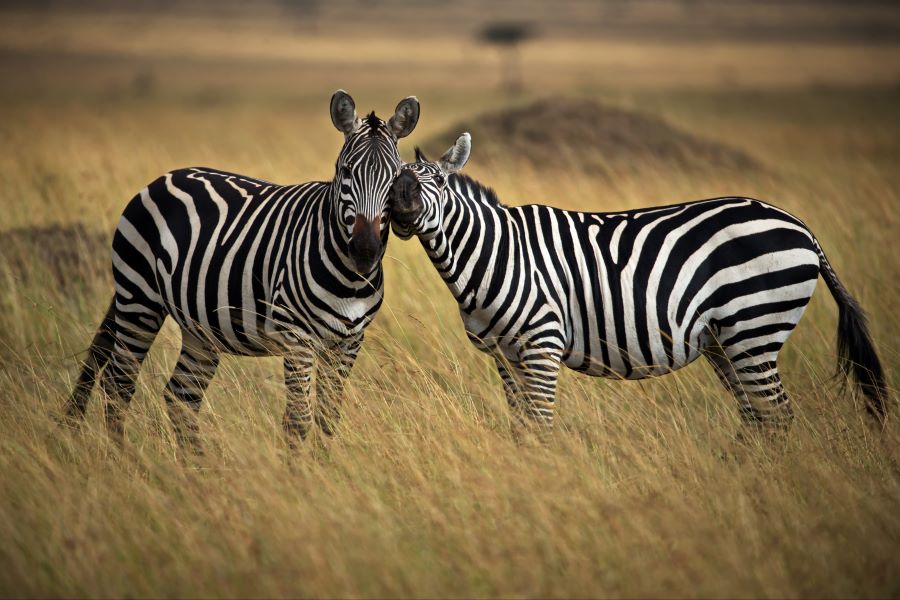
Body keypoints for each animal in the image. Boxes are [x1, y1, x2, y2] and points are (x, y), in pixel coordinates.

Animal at [63, 91, 422, 452]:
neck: (349, 280)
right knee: (118, 383)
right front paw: (299, 468)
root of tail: (162, 179)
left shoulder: (350, 342)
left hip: (199, 327)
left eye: (395, 178)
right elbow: (298, 420)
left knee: (181, 396)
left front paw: (327, 465)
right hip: (139, 298)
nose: (365, 250)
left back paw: (199, 465)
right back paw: (124, 457)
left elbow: (327, 419)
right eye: (346, 171)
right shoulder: (298, 338)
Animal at [390, 132, 888, 432]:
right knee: (757, 415)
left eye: (437, 182)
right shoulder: (505, 354)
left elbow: (542, 424)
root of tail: (802, 227)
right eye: (393, 179)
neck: (495, 253)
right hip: (727, 341)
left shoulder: (542, 344)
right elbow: (522, 427)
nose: (400, 204)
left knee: (777, 414)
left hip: (754, 328)